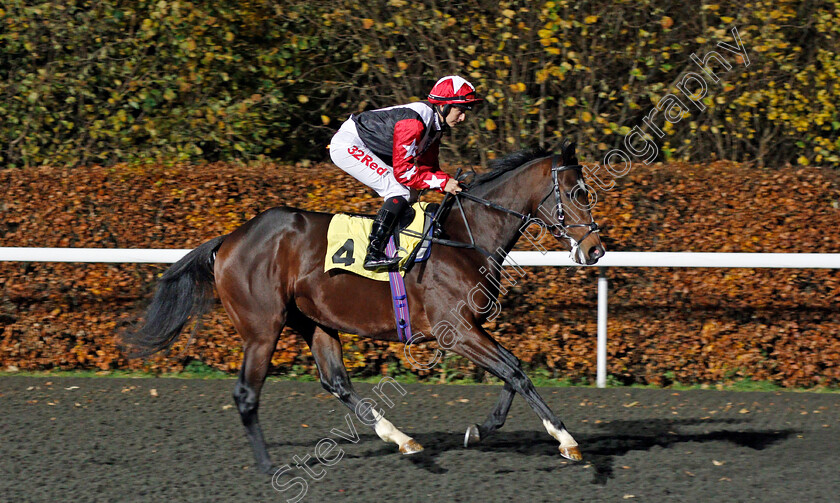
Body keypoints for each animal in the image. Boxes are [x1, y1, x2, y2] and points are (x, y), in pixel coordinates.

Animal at [124, 141, 604, 472]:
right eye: (578, 192)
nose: (596, 250)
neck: (463, 239)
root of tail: (228, 240)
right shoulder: (456, 331)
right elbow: (515, 373)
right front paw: (566, 440)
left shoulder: (469, 329)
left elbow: (512, 370)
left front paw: (479, 430)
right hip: (262, 329)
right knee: (247, 393)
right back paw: (267, 466)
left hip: (313, 321)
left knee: (336, 381)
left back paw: (401, 438)